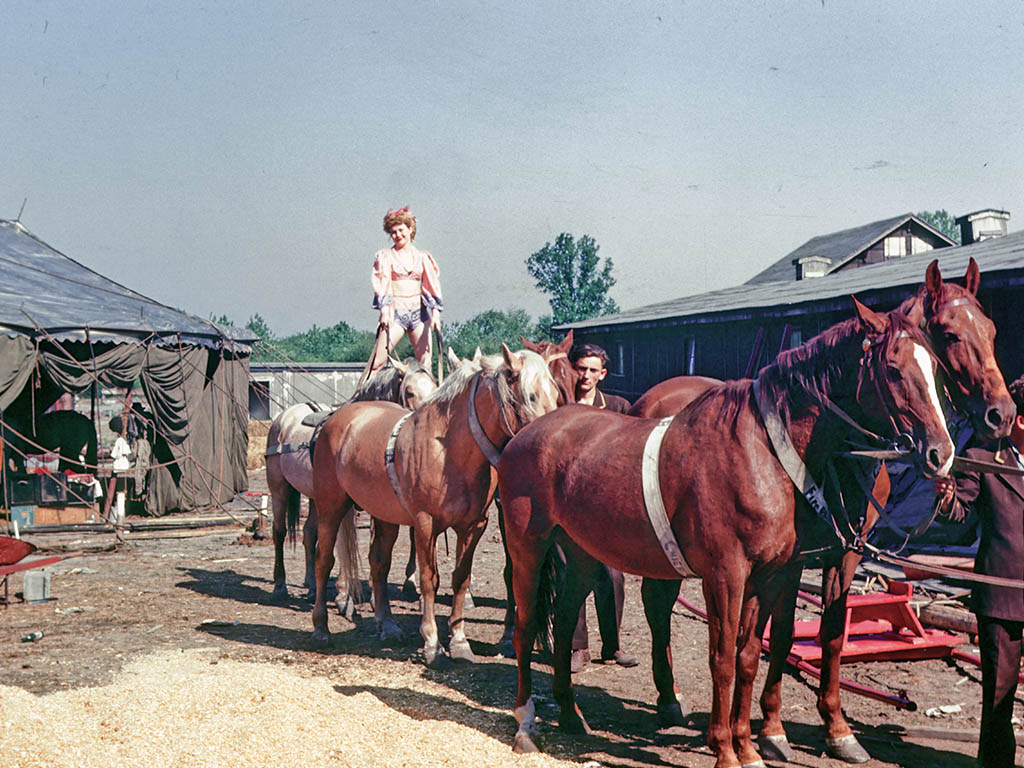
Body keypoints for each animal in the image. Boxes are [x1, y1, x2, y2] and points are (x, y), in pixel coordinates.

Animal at [309, 346, 561, 663]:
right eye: (531, 396)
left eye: (556, 393)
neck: (448, 451)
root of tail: (336, 419)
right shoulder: (425, 524)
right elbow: (429, 580)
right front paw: (432, 644)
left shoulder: (473, 526)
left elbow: (461, 579)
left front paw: (460, 642)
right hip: (330, 508)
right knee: (323, 560)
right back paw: (321, 629)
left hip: (384, 517)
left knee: (379, 563)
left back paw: (387, 625)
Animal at [499, 301, 954, 768]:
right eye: (893, 369)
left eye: (935, 366)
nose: (941, 453)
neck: (762, 452)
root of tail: (527, 434)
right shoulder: (725, 576)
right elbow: (722, 659)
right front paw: (724, 748)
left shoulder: (767, 576)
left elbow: (749, 656)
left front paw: (750, 746)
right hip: (527, 548)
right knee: (526, 627)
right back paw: (526, 726)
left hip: (582, 555)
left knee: (564, 620)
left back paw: (572, 715)